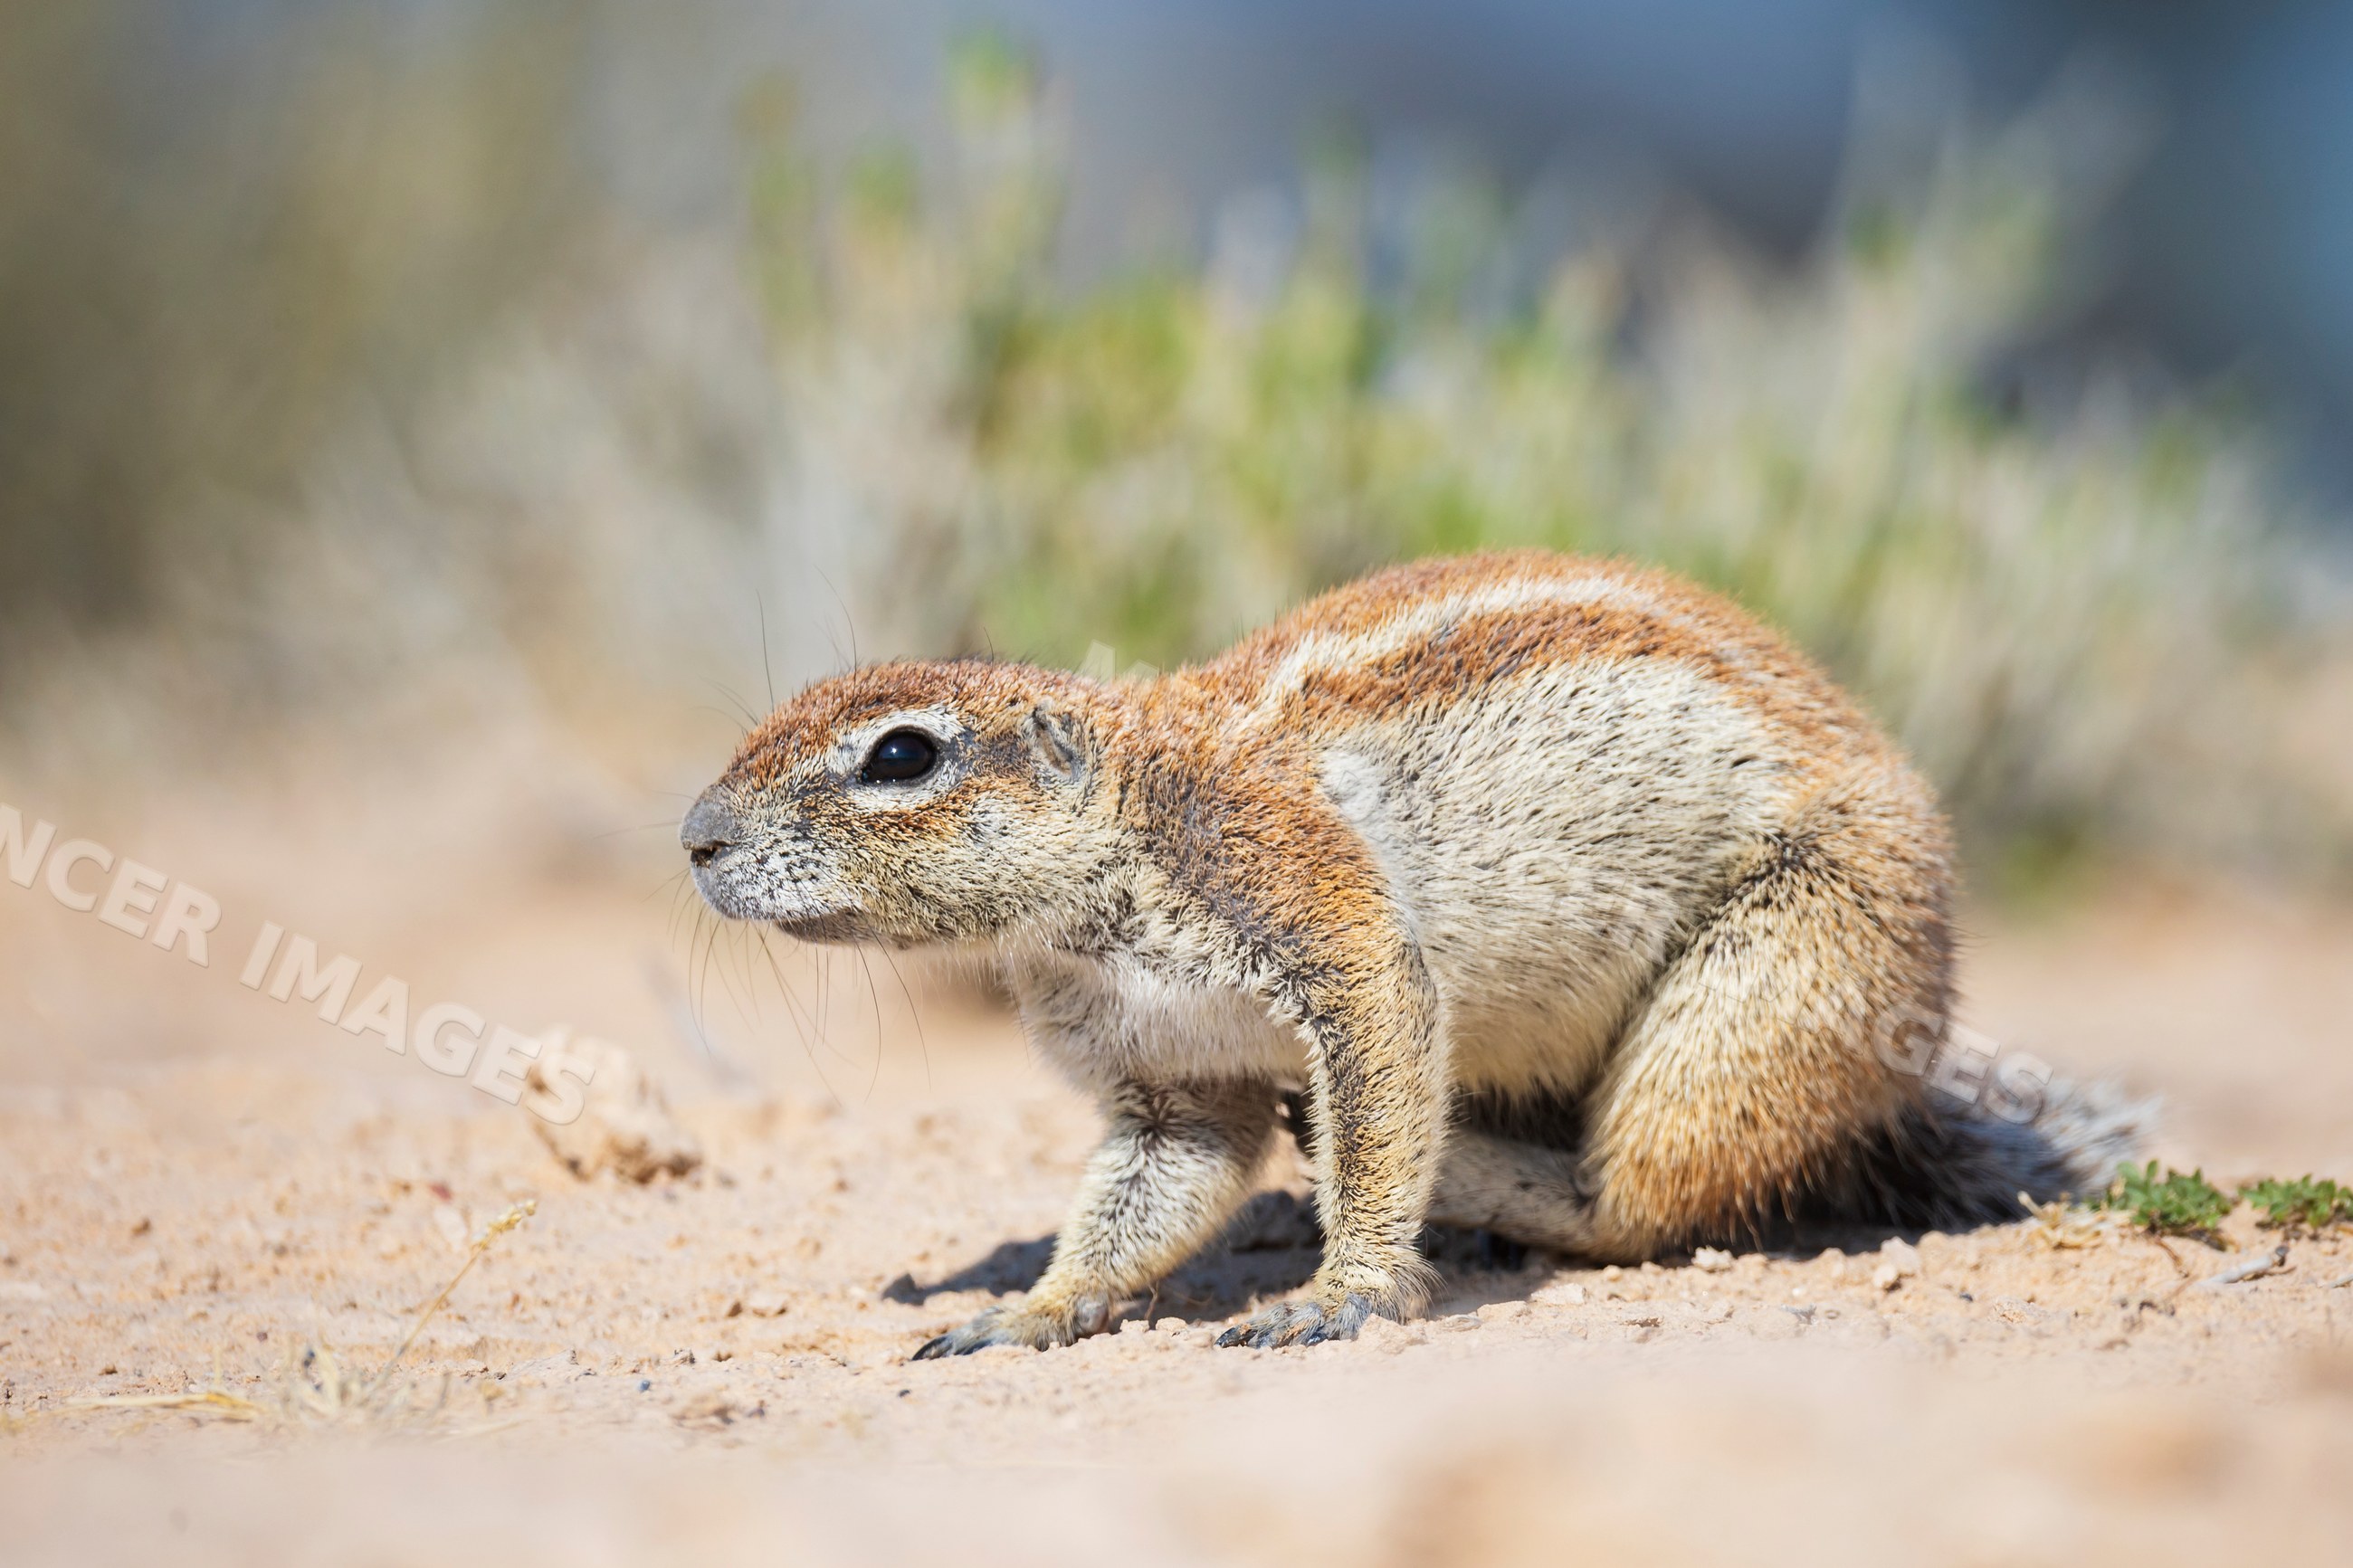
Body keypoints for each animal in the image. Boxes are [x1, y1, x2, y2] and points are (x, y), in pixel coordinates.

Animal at [683, 551, 2142, 1352]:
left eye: (900, 755)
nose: (695, 837)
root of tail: (1889, 1087)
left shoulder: (1310, 897)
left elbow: (1382, 1051)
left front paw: (1343, 1287)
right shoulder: (1164, 1072)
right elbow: (1156, 1180)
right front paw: (1035, 1306)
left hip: (1763, 996)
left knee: (1644, 1202)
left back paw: (1476, 1181)